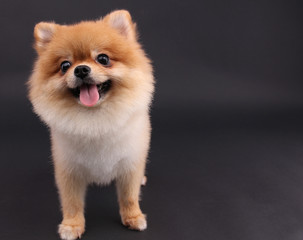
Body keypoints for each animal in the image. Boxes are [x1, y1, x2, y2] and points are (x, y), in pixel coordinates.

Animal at [27, 10, 156, 239]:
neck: (95, 119)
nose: (80, 70)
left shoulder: (130, 163)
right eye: (65, 66)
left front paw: (133, 217)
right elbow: (71, 202)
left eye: (103, 59)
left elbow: (129, 195)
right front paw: (72, 226)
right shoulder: (69, 169)